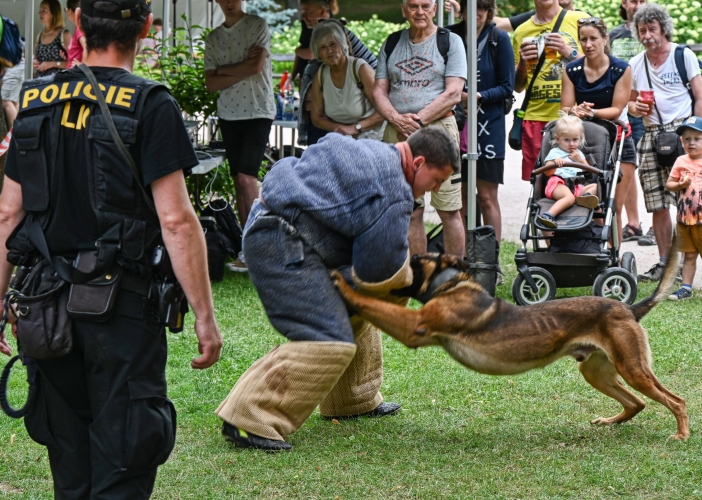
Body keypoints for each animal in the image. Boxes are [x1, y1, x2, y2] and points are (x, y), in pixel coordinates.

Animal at [332, 252, 692, 440]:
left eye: (414, 259)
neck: (449, 284)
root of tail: (629, 309)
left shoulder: (414, 327)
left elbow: (371, 303)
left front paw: (341, 283)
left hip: (631, 368)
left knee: (676, 400)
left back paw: (681, 434)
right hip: (597, 372)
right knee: (637, 403)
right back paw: (609, 422)